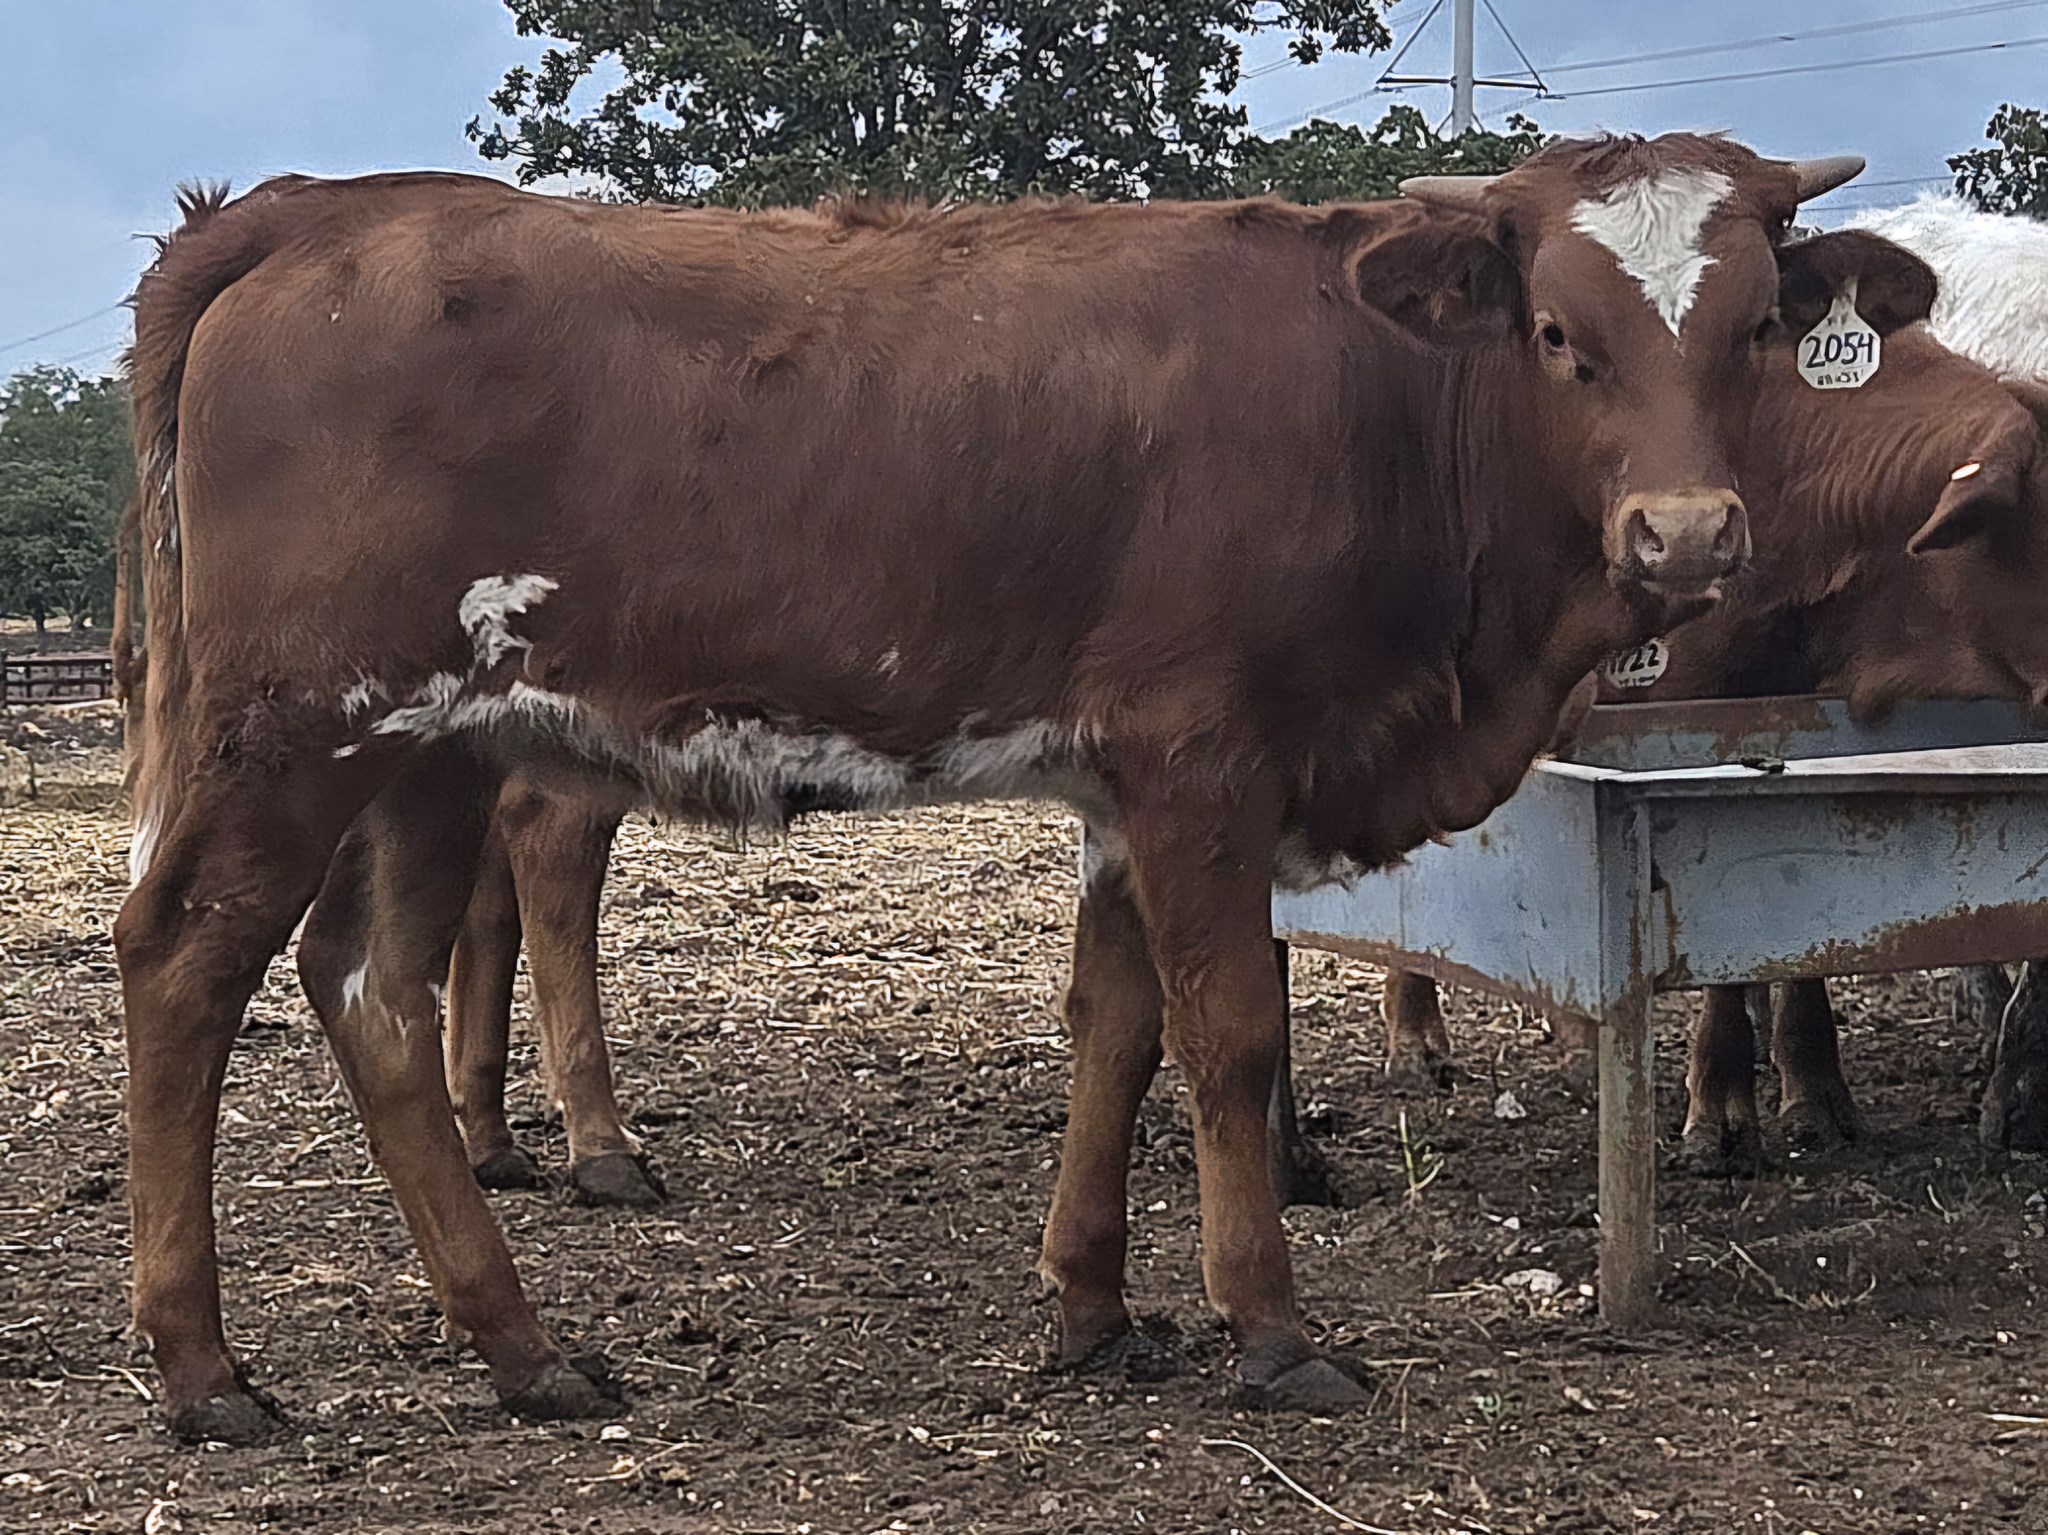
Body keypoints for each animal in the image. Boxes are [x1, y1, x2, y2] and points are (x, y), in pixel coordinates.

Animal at [116, 137, 1914, 1442]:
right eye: (1558, 332)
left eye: (1758, 325)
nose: (1686, 535)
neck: (1382, 402)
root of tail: (316, 212)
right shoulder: (1203, 758)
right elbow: (1229, 1036)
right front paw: (1270, 1329)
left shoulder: (1126, 785)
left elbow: (1114, 1027)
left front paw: (1095, 1309)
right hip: (303, 726)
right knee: (186, 959)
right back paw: (204, 1368)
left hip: (427, 750)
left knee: (371, 989)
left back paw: (518, 1347)